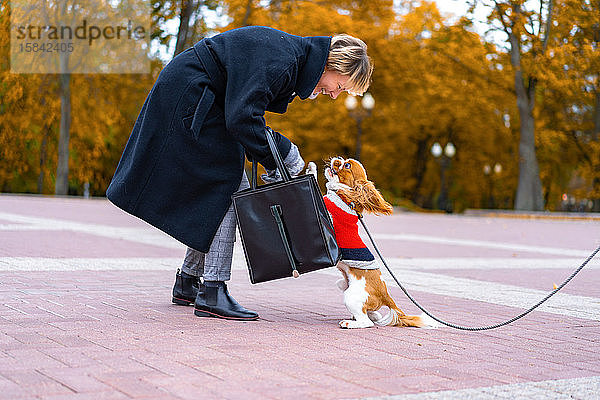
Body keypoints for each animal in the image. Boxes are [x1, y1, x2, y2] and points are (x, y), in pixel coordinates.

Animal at [310, 158, 436, 330]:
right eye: (343, 160)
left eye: (346, 165)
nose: (337, 159)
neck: (345, 199)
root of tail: (386, 295)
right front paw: (311, 169)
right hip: (343, 285)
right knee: (374, 314)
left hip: (351, 296)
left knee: (366, 321)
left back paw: (349, 323)